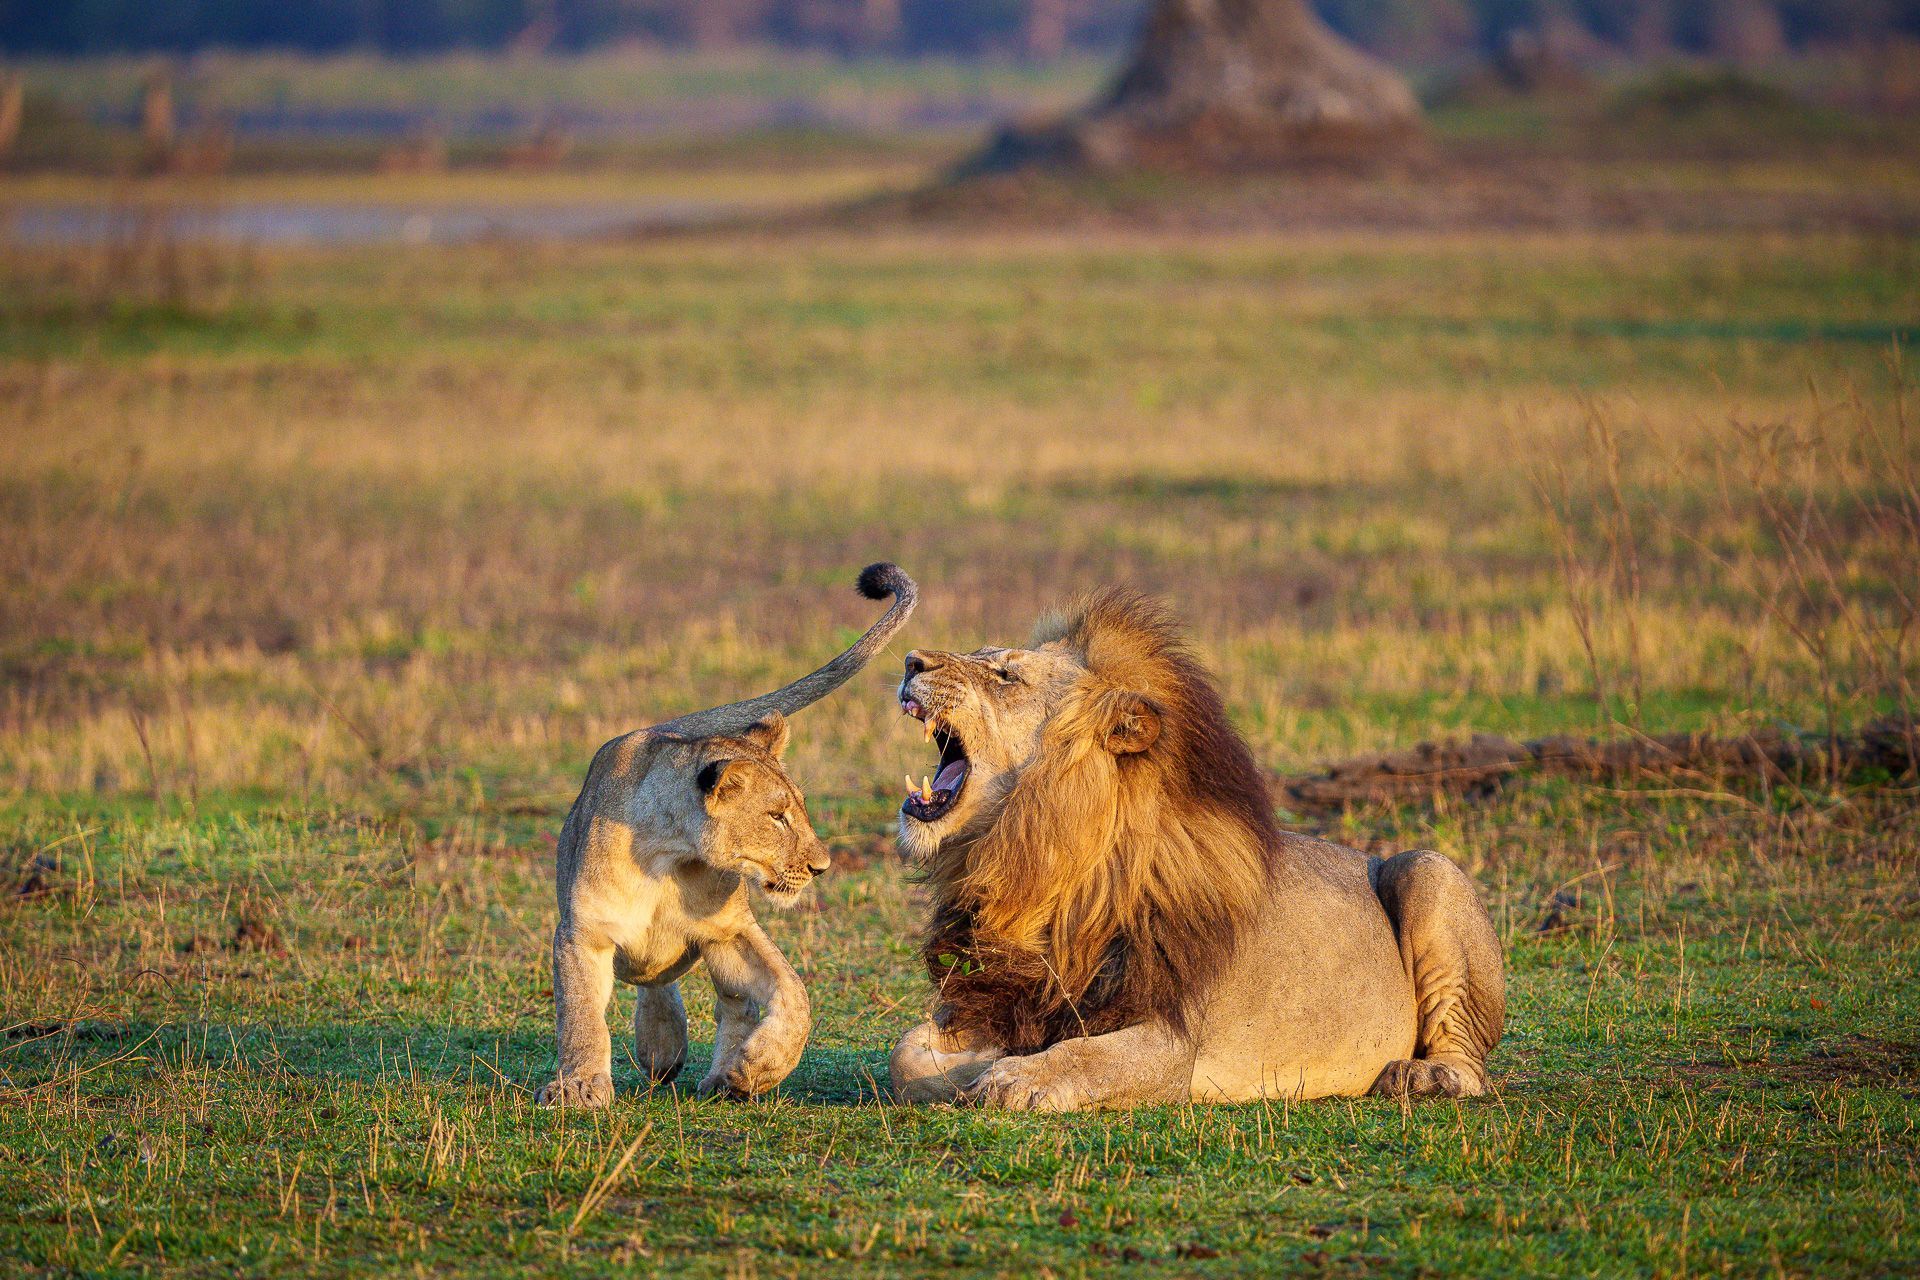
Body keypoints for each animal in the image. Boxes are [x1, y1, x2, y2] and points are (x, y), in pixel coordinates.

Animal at [536, 563, 916, 1108]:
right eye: (777, 816)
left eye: (799, 808)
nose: (822, 865)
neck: (669, 857)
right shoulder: (583, 934)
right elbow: (581, 1018)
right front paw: (581, 1087)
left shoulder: (730, 930)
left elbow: (794, 993)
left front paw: (758, 1067)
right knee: (651, 982)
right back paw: (663, 1045)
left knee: (728, 1004)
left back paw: (716, 1073)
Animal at [886, 588, 1504, 1111]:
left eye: (1006, 674)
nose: (912, 661)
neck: (1038, 867)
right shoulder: (989, 994)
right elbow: (904, 1056)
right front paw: (975, 1066)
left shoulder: (1172, 1038)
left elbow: (1082, 1056)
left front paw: (1014, 1075)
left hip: (1428, 869)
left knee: (1468, 1061)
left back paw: (1422, 1075)